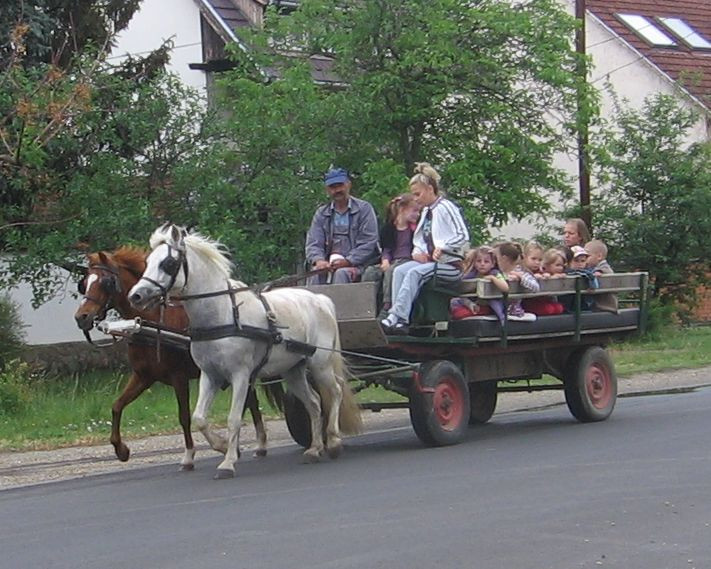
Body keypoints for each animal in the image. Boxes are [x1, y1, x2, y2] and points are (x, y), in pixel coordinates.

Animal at [73, 246, 282, 468]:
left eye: (106, 282)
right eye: (84, 284)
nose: (81, 317)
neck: (154, 323)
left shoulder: (178, 377)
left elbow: (184, 416)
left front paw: (189, 455)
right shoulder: (143, 376)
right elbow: (117, 406)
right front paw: (121, 449)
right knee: (251, 402)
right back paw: (257, 444)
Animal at [128, 224, 362, 478]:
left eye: (168, 263)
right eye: (148, 261)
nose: (136, 295)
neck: (223, 315)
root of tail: (320, 299)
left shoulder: (240, 375)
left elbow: (234, 419)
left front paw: (228, 462)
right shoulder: (209, 375)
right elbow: (199, 417)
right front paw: (222, 446)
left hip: (320, 365)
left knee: (336, 392)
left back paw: (334, 441)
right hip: (293, 370)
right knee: (315, 404)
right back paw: (315, 448)